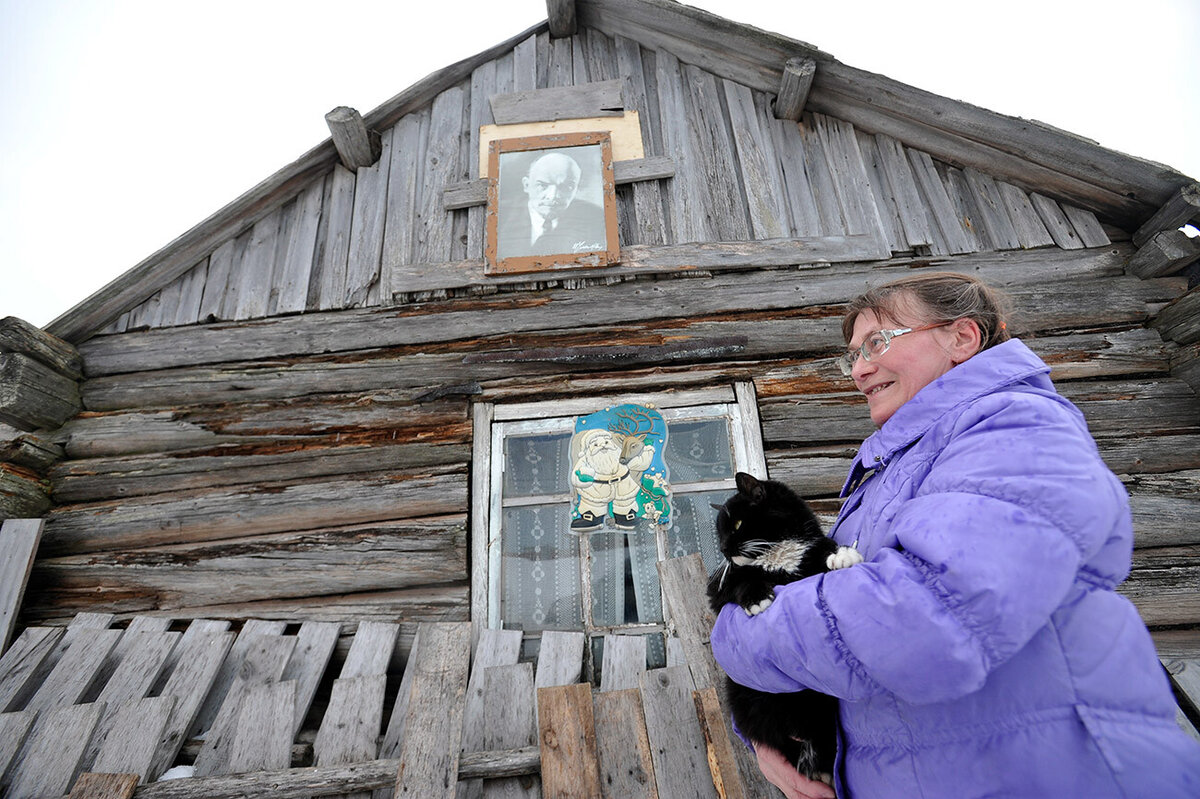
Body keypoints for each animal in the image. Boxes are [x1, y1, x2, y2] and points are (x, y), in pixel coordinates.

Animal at [700, 470, 864, 782]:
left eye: (737, 524)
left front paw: (842, 555)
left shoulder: (809, 551)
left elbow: (823, 549)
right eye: (719, 534)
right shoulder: (718, 589)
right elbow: (739, 580)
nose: (724, 549)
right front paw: (757, 598)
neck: (777, 555)